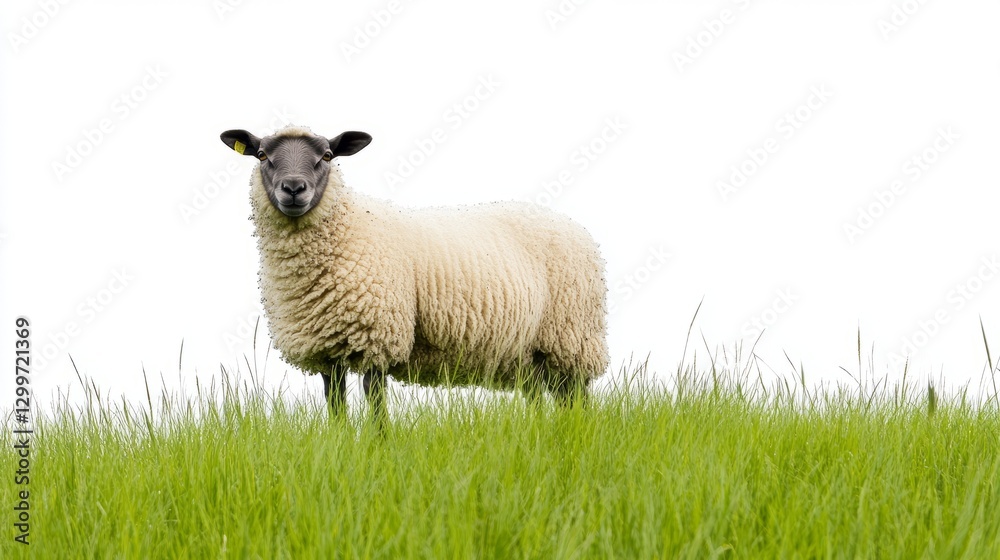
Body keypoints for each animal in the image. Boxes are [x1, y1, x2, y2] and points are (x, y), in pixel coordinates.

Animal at [220, 125, 608, 418]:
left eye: (327, 156)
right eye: (262, 155)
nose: (293, 188)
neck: (348, 228)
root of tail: (574, 227)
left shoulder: (378, 335)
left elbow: (375, 402)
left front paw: (378, 446)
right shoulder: (326, 350)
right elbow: (336, 406)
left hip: (571, 338)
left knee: (577, 399)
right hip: (529, 353)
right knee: (542, 396)